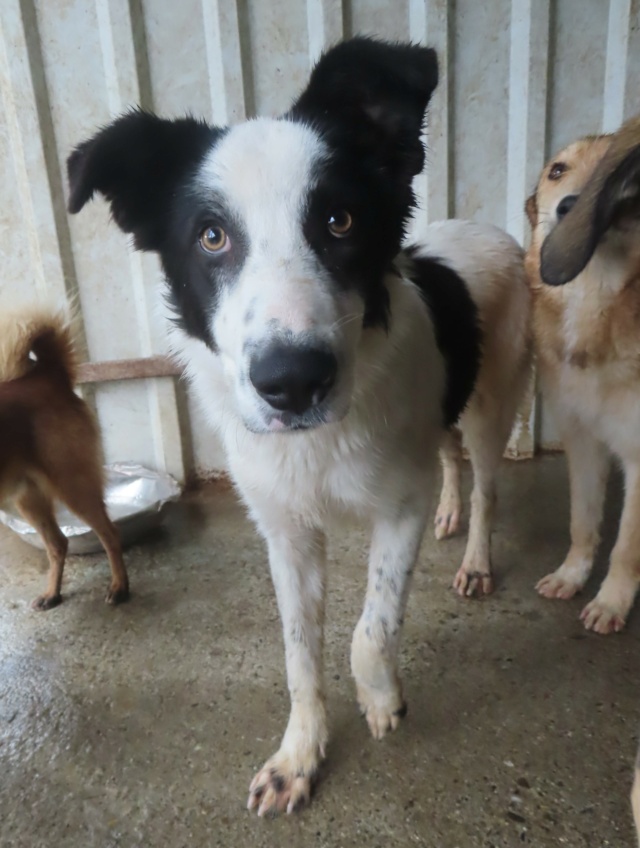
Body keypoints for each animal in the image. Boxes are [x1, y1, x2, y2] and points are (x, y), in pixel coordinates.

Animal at [0, 304, 129, 608]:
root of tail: (46, 374)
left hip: (73, 485)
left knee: (110, 534)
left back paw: (119, 587)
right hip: (29, 498)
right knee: (58, 544)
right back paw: (52, 593)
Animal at [69, 38, 528, 816]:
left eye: (340, 221)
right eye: (212, 236)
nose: (291, 383)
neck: (315, 441)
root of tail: (493, 230)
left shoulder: (395, 509)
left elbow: (369, 630)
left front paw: (381, 700)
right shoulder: (285, 530)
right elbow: (299, 651)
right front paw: (300, 754)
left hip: (492, 403)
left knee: (490, 483)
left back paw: (474, 560)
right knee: (450, 462)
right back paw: (451, 516)